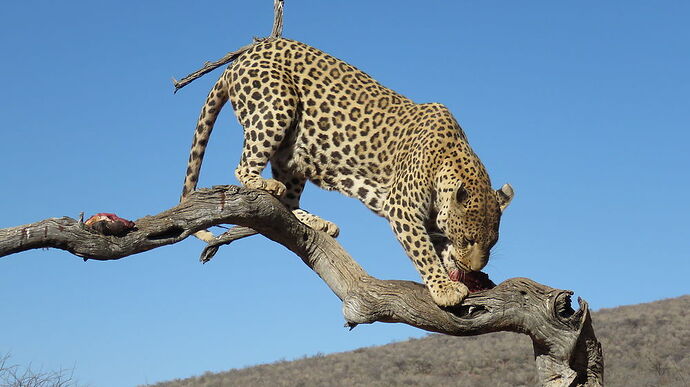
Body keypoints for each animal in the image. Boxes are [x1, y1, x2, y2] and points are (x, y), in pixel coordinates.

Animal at [180, 38, 512, 308]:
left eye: (491, 244)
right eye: (468, 239)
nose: (474, 267)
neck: (449, 159)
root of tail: (240, 59)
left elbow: (437, 247)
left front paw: (458, 276)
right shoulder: (401, 207)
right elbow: (423, 251)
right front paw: (444, 289)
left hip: (294, 153)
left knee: (289, 200)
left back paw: (316, 221)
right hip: (276, 107)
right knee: (244, 166)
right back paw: (263, 183)